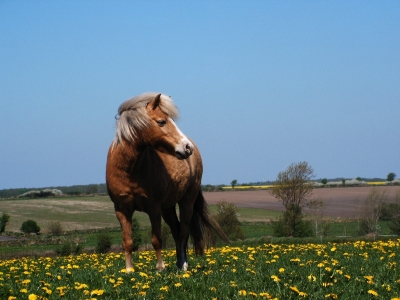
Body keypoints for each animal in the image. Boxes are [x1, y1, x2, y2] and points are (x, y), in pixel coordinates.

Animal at [106, 92, 228, 272]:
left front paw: (160, 268)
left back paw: (183, 265)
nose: (187, 147)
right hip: (168, 208)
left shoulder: (154, 208)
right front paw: (129, 270)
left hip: (186, 202)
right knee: (177, 231)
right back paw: (178, 263)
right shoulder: (122, 210)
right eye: (161, 121)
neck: (130, 169)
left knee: (183, 231)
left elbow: (157, 240)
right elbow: (127, 242)